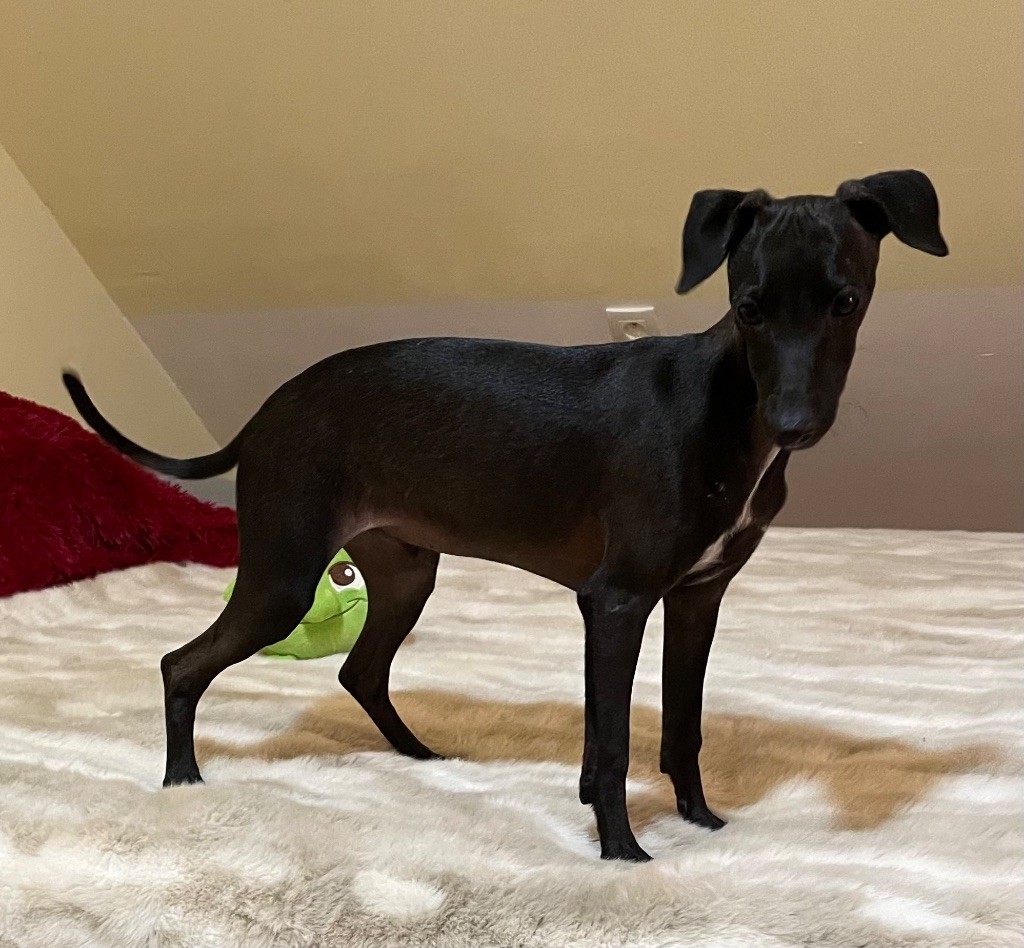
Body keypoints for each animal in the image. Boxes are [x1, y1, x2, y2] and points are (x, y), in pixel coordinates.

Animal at [64, 169, 947, 862]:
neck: (733, 410)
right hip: (284, 575)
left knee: (359, 671)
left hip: (404, 571)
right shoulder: (616, 600)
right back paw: (183, 780)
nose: (794, 424)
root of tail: (263, 414)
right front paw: (624, 855)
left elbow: (680, 725)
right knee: (182, 664)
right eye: (750, 308)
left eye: (846, 301)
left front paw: (701, 822)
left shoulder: (697, 598)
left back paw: (421, 758)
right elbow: (614, 741)